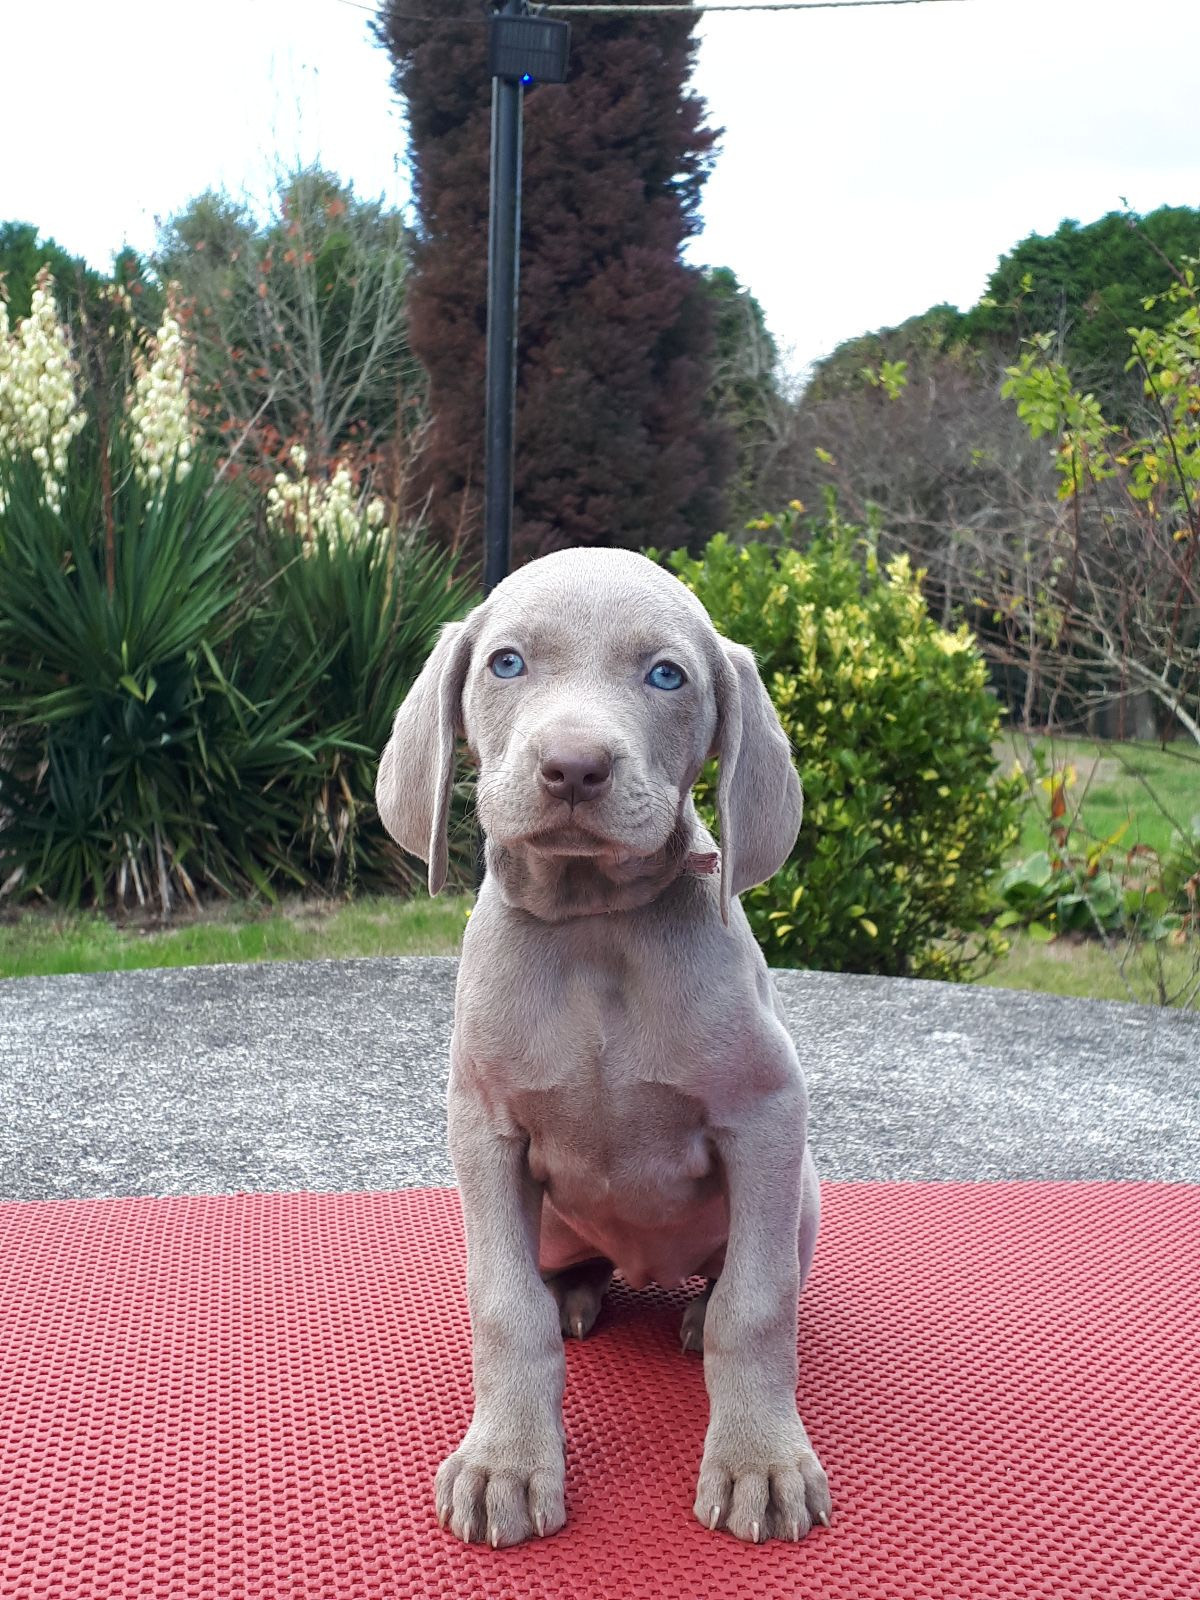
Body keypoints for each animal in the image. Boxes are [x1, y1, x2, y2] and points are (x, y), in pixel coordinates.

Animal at [376, 546, 830, 1548]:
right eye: (506, 663)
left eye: (666, 675)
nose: (573, 767)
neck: (594, 932)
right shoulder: (484, 1130)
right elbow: (504, 1309)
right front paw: (507, 1461)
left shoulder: (768, 1114)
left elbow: (758, 1304)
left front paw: (760, 1459)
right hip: (546, 1218)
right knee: (561, 1278)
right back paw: (575, 1297)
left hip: (803, 1195)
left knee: (733, 1279)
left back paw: (692, 1310)